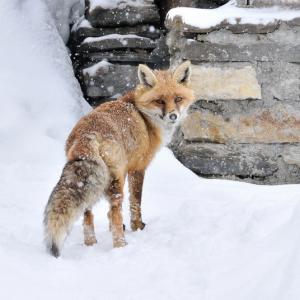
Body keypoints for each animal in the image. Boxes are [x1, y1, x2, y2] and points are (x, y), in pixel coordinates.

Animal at [43, 59, 196, 256]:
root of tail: (87, 134)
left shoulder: (125, 169)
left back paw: (91, 244)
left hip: (95, 183)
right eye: (159, 100)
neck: (144, 116)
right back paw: (120, 245)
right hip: (114, 182)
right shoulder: (137, 168)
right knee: (115, 210)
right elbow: (135, 203)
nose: (173, 116)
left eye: (178, 98)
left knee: (87, 213)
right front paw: (136, 227)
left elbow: (111, 213)